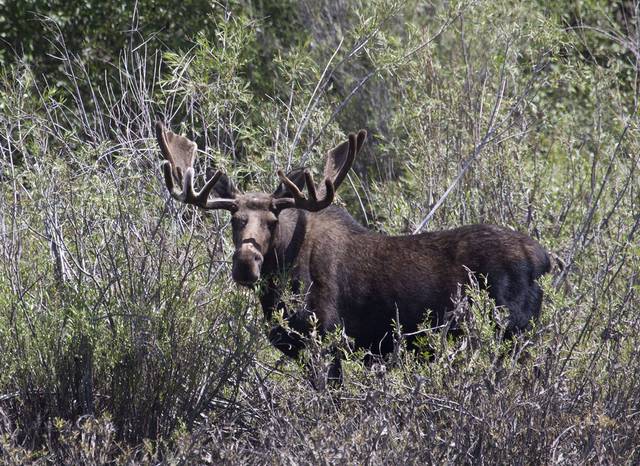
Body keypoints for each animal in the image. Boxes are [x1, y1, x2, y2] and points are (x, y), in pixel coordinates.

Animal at [156, 120, 552, 386]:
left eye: (272, 220)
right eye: (235, 219)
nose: (245, 264)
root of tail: (544, 260)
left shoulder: (328, 340)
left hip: (511, 331)